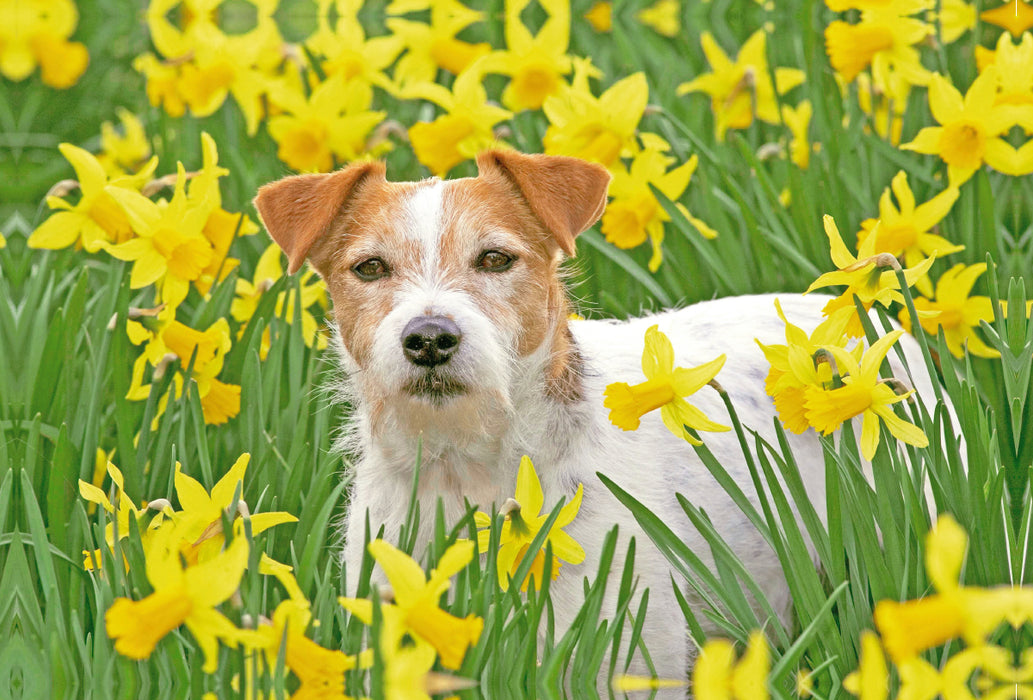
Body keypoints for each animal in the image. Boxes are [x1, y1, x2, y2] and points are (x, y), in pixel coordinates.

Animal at [252, 151, 946, 681]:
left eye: (495, 259)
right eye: (370, 267)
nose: (429, 339)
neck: (467, 466)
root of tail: (867, 327)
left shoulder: (624, 652)